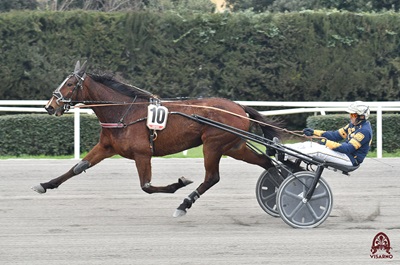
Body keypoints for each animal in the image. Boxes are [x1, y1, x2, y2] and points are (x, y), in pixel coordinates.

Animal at [32, 61, 280, 217]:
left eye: (70, 84)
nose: (49, 106)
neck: (123, 112)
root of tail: (239, 107)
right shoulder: (106, 146)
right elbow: (78, 167)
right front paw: (44, 185)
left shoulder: (142, 154)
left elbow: (147, 186)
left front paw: (179, 183)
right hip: (235, 147)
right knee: (267, 164)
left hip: (214, 145)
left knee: (212, 177)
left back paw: (184, 204)